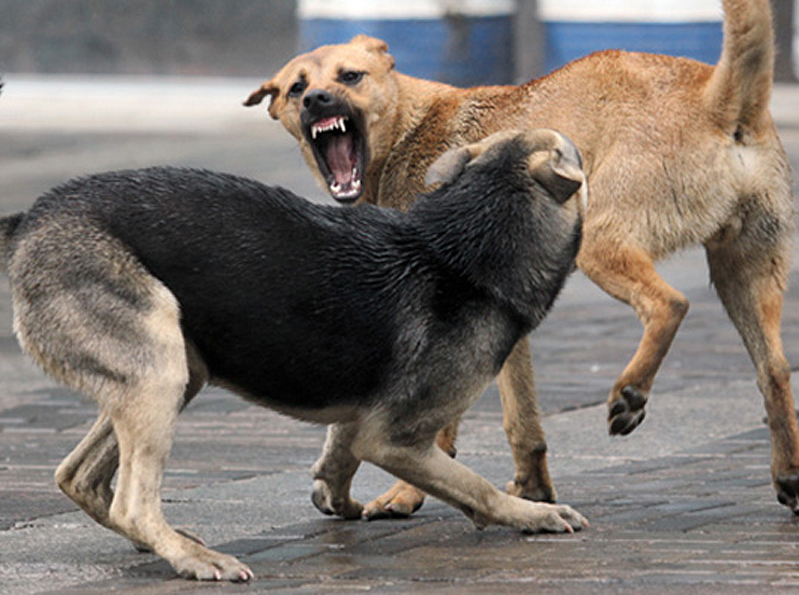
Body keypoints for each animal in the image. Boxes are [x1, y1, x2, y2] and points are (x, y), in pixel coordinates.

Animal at [0, 130, 588, 584]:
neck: (462, 244)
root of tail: (31, 219)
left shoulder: (364, 417)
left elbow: (339, 458)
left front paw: (339, 501)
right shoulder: (394, 438)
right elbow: (475, 487)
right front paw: (531, 514)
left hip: (175, 372)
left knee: (77, 476)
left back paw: (167, 541)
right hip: (159, 368)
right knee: (132, 503)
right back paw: (193, 557)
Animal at [245, 0, 799, 520]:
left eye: (350, 77)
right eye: (296, 88)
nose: (316, 99)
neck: (406, 130)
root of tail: (717, 98)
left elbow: (434, 428)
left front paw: (405, 495)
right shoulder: (504, 323)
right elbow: (522, 419)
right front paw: (533, 492)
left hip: (603, 243)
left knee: (670, 305)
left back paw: (631, 392)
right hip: (747, 274)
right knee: (773, 371)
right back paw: (788, 475)